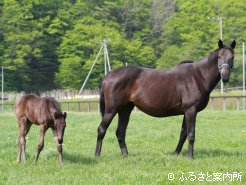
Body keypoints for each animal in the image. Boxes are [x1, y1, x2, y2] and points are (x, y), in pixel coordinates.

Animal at [95, 39, 235, 158]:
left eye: (232, 57)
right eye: (219, 57)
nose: (225, 76)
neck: (197, 76)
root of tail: (108, 75)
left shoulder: (186, 112)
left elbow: (183, 134)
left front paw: (176, 154)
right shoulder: (191, 110)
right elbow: (191, 134)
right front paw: (190, 156)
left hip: (125, 110)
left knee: (120, 132)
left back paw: (125, 155)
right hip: (111, 110)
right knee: (102, 129)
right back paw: (97, 155)